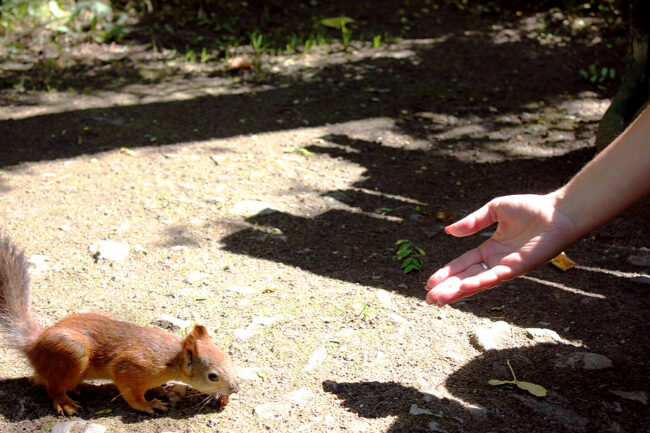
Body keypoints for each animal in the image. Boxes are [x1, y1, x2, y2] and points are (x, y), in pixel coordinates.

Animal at [0, 234, 240, 415]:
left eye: (230, 359)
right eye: (212, 376)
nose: (235, 388)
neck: (171, 358)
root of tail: (34, 345)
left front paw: (223, 397)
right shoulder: (133, 369)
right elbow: (131, 393)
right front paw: (149, 405)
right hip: (72, 350)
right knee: (51, 387)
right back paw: (65, 401)